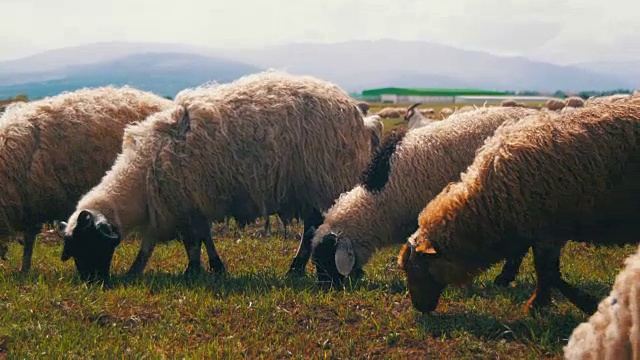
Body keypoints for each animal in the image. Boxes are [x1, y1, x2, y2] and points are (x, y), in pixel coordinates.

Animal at [58, 69, 376, 280]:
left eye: (87, 243)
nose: (92, 282)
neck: (141, 179)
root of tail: (358, 114)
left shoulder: (182, 202)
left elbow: (192, 241)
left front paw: (195, 270)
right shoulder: (184, 205)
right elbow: (193, 239)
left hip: (324, 181)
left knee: (319, 227)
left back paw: (303, 268)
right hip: (311, 188)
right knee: (314, 226)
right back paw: (299, 268)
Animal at [398, 98, 640, 316]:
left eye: (419, 269)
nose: (420, 308)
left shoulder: (548, 231)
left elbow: (547, 272)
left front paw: (558, 303)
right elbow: (545, 271)